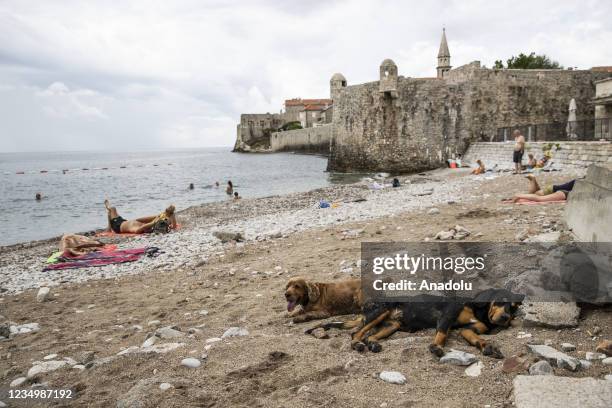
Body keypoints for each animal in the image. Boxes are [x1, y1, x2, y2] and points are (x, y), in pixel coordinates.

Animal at [306, 288, 520, 358]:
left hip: (392, 325)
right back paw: (358, 344)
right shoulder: (447, 316)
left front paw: (488, 347)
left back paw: (373, 344)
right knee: (356, 334)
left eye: (513, 307)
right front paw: (436, 347)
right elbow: (442, 334)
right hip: (380, 311)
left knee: (372, 336)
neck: (480, 311)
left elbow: (475, 337)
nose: (505, 318)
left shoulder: (468, 330)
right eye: (500, 300)